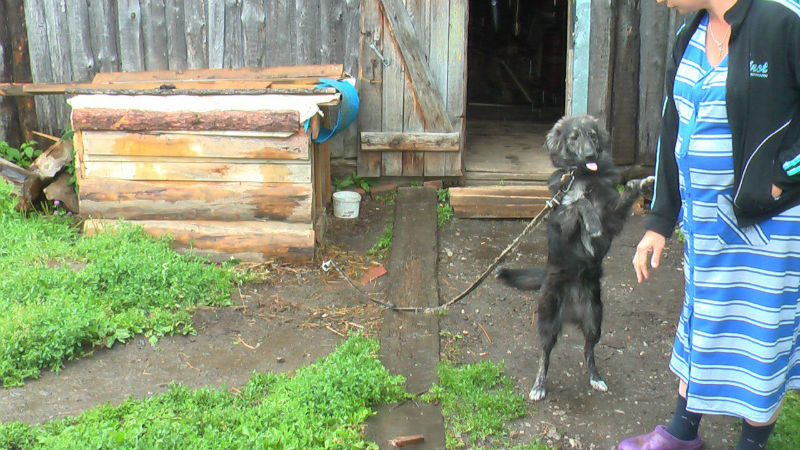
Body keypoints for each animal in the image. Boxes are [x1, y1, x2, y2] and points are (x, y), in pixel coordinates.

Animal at [497, 115, 653, 401]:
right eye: (574, 137)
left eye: (593, 135)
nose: (591, 154)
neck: (584, 176)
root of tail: (571, 311)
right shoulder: (563, 223)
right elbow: (579, 204)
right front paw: (590, 220)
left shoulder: (612, 217)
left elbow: (626, 192)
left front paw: (643, 184)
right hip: (548, 320)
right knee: (544, 356)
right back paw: (538, 386)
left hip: (595, 321)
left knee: (588, 351)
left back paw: (596, 378)